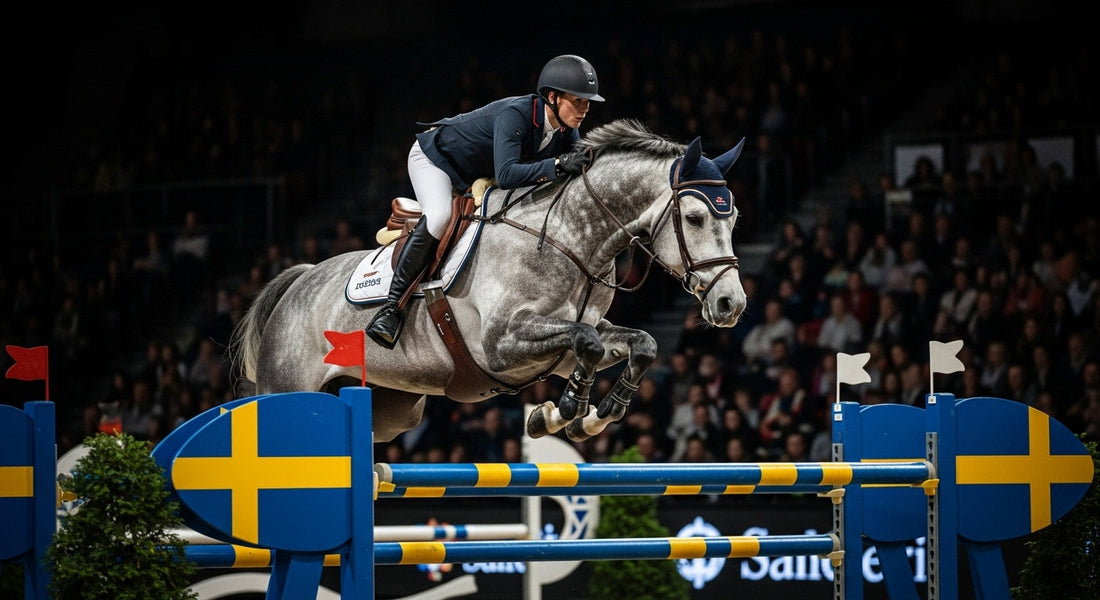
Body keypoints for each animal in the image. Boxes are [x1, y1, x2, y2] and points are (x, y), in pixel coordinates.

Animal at [229, 118, 748, 444]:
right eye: (696, 217)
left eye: (735, 217)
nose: (732, 305)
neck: (569, 238)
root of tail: (298, 282)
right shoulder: (500, 344)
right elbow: (588, 341)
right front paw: (561, 412)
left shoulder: (563, 349)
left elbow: (636, 344)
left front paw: (587, 420)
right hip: (287, 387)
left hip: (393, 408)